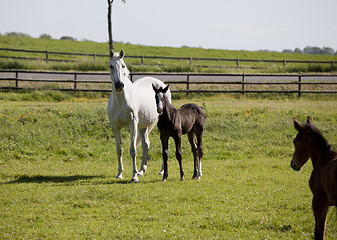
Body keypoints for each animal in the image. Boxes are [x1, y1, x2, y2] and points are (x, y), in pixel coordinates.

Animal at [107, 49, 171, 183]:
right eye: (111, 66)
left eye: (123, 65)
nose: (119, 85)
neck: (121, 101)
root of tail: (162, 85)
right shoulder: (115, 127)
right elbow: (119, 150)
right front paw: (119, 173)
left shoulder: (133, 125)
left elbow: (133, 150)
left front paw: (134, 176)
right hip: (143, 126)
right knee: (146, 144)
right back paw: (142, 170)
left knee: (164, 145)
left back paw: (161, 171)